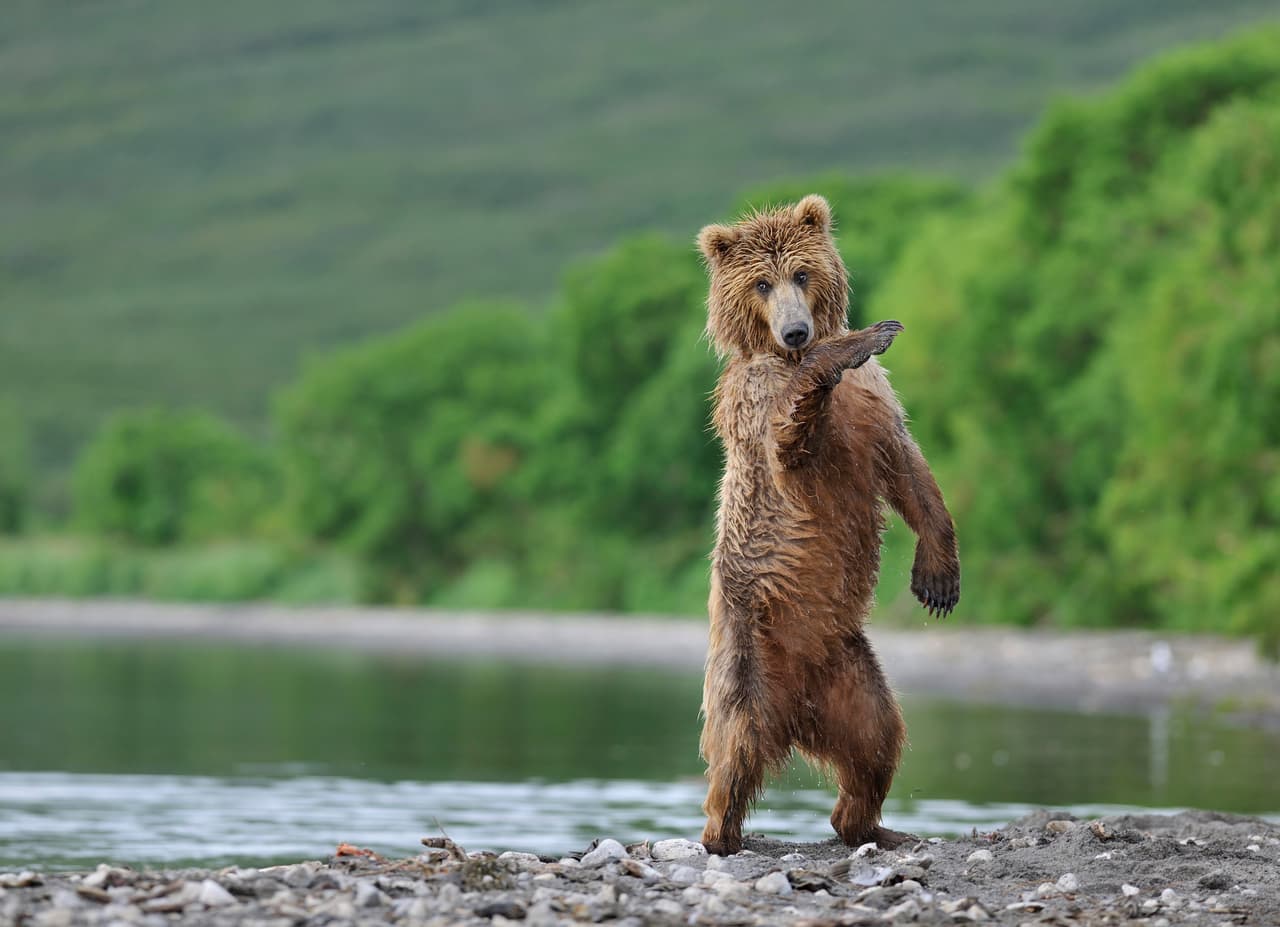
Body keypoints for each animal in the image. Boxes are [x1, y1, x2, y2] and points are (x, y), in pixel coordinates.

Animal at [695, 194, 960, 855]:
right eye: (761, 283)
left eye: (801, 273)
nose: (796, 330)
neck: (782, 356)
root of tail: (795, 715)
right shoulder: (759, 407)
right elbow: (792, 443)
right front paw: (863, 339)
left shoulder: (873, 407)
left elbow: (909, 470)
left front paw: (938, 577)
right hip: (746, 654)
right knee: (734, 747)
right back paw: (723, 834)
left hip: (851, 672)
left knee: (878, 740)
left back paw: (873, 825)